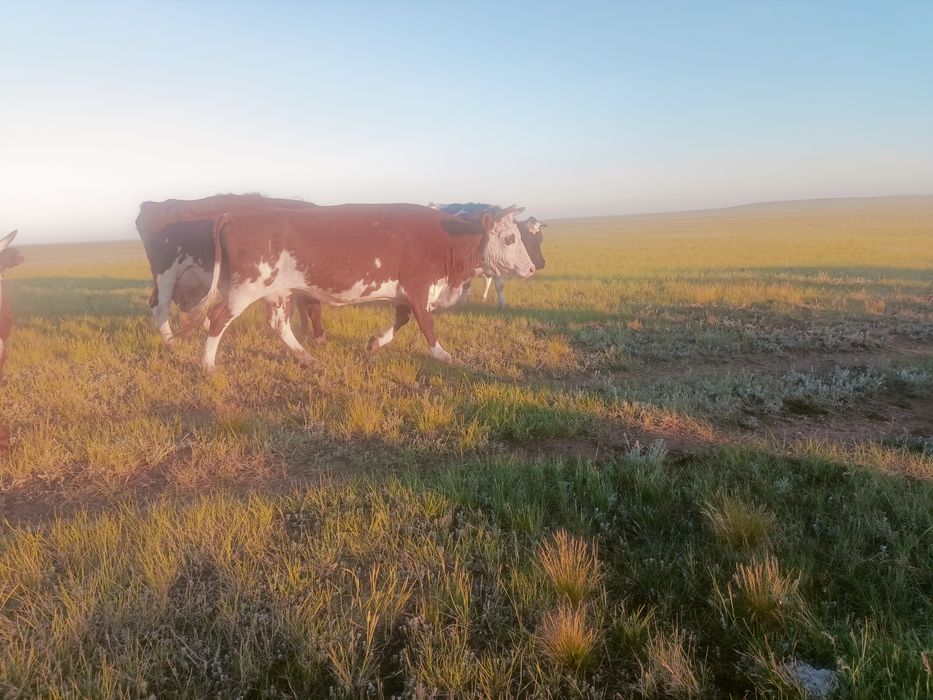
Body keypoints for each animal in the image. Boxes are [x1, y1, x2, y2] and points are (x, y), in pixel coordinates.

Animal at [135, 194, 324, 347]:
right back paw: (171, 343)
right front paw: (318, 338)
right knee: (159, 306)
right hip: (166, 275)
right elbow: (312, 307)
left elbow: (302, 307)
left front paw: (306, 333)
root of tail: (153, 205)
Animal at [189, 203, 535, 370]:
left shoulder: (404, 293)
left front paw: (374, 343)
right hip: (245, 288)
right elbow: (426, 324)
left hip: (276, 292)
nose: (532, 268)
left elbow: (402, 319)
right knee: (218, 319)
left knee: (277, 324)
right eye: (510, 238)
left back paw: (307, 359)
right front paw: (443, 355)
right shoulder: (418, 287)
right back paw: (207, 364)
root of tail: (234, 215)